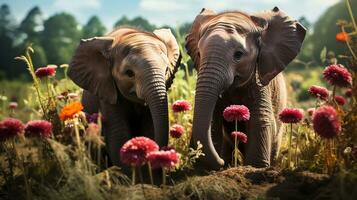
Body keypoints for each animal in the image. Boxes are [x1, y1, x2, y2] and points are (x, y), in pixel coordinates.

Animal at [67, 27, 181, 167]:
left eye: (166, 71)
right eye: (129, 73)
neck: (128, 36)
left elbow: (149, 130)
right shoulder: (107, 94)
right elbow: (119, 138)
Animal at [185, 7, 304, 169]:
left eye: (238, 55)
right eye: (198, 53)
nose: (221, 162)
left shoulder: (259, 81)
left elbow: (260, 117)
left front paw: (256, 166)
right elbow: (213, 119)